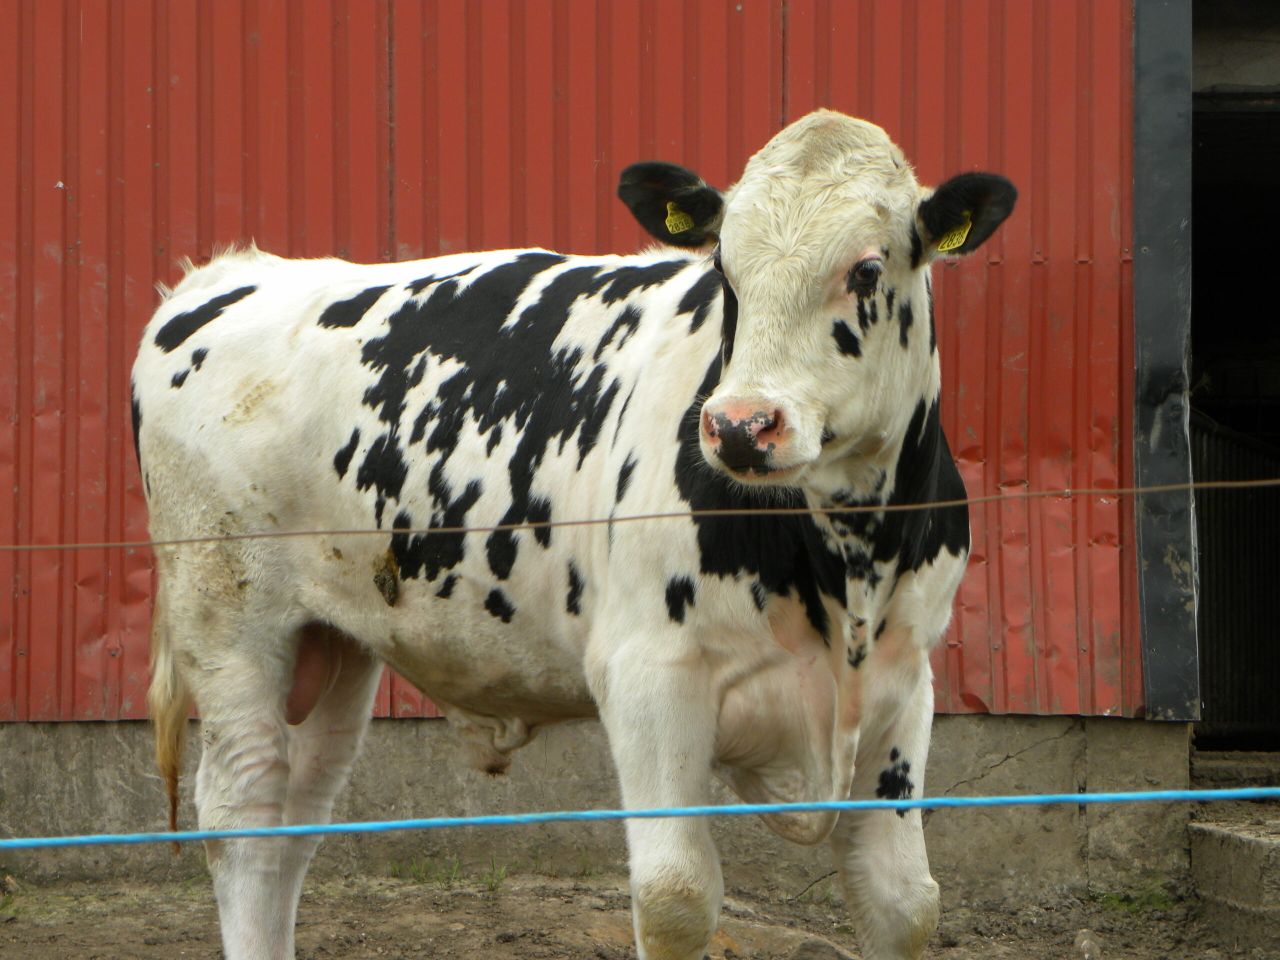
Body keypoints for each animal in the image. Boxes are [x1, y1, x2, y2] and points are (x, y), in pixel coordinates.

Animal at [131, 109, 1015, 960]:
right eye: (724, 269)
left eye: (866, 269)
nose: (740, 426)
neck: (848, 556)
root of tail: (232, 273)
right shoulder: (649, 674)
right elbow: (675, 899)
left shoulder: (904, 682)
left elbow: (902, 904)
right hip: (230, 623)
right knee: (245, 815)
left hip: (334, 638)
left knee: (298, 814)